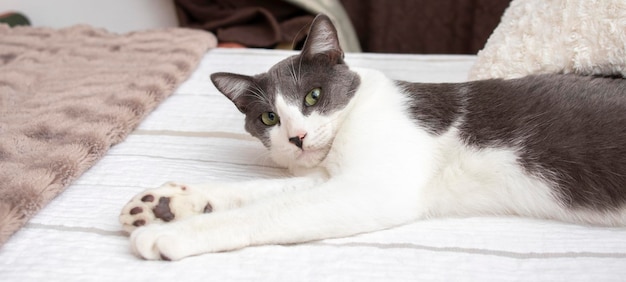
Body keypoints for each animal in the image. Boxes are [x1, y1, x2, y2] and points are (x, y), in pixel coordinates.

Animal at [118, 13, 624, 260]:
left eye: (313, 96)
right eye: (268, 118)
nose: (297, 137)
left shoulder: (371, 189)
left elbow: (269, 211)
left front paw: (172, 232)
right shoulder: (330, 177)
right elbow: (260, 191)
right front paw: (167, 203)